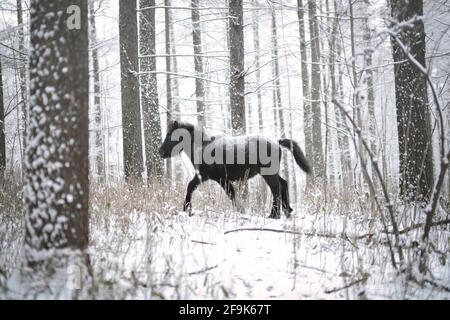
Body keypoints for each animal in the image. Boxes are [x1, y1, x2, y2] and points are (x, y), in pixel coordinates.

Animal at [158, 121, 310, 219]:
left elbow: (229, 193)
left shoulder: (217, 178)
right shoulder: (204, 177)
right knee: (283, 184)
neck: (203, 147)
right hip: (271, 173)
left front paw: (185, 211)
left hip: (269, 174)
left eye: (169, 135)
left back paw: (274, 215)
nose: (160, 152)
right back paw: (288, 211)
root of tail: (277, 142)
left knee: (276, 189)